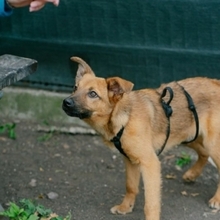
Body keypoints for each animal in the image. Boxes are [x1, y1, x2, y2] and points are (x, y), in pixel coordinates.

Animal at [62, 56, 220, 220]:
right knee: (204, 153)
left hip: (211, 143)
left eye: (93, 94)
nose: (66, 102)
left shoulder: (150, 163)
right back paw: (192, 174)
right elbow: (131, 186)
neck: (124, 118)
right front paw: (125, 207)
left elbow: (150, 203)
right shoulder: (130, 160)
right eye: (75, 88)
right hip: (188, 136)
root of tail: (216, 82)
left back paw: (216, 199)